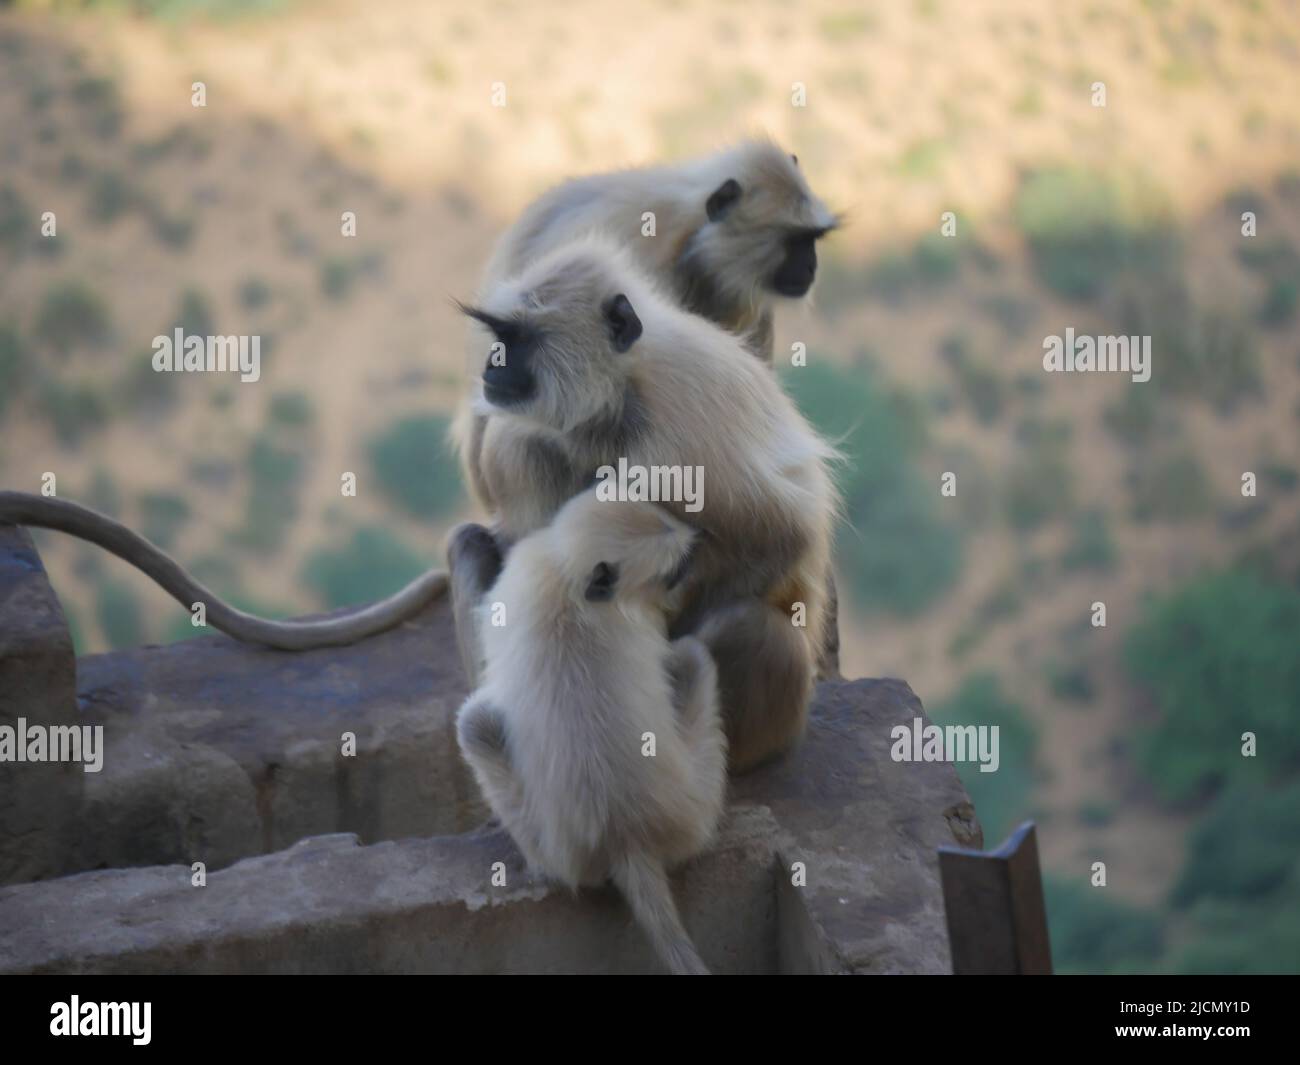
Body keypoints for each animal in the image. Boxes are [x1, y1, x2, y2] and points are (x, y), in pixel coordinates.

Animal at [447, 237, 837, 775]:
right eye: (499, 336)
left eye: (517, 339)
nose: (491, 364)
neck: (619, 393)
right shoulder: (513, 439)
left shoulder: (684, 432)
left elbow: (782, 536)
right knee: (473, 538)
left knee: (746, 622)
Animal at [457, 491, 728, 972]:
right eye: (673, 571)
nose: (698, 550)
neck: (568, 582)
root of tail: (628, 835)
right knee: (691, 656)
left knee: (475, 725)